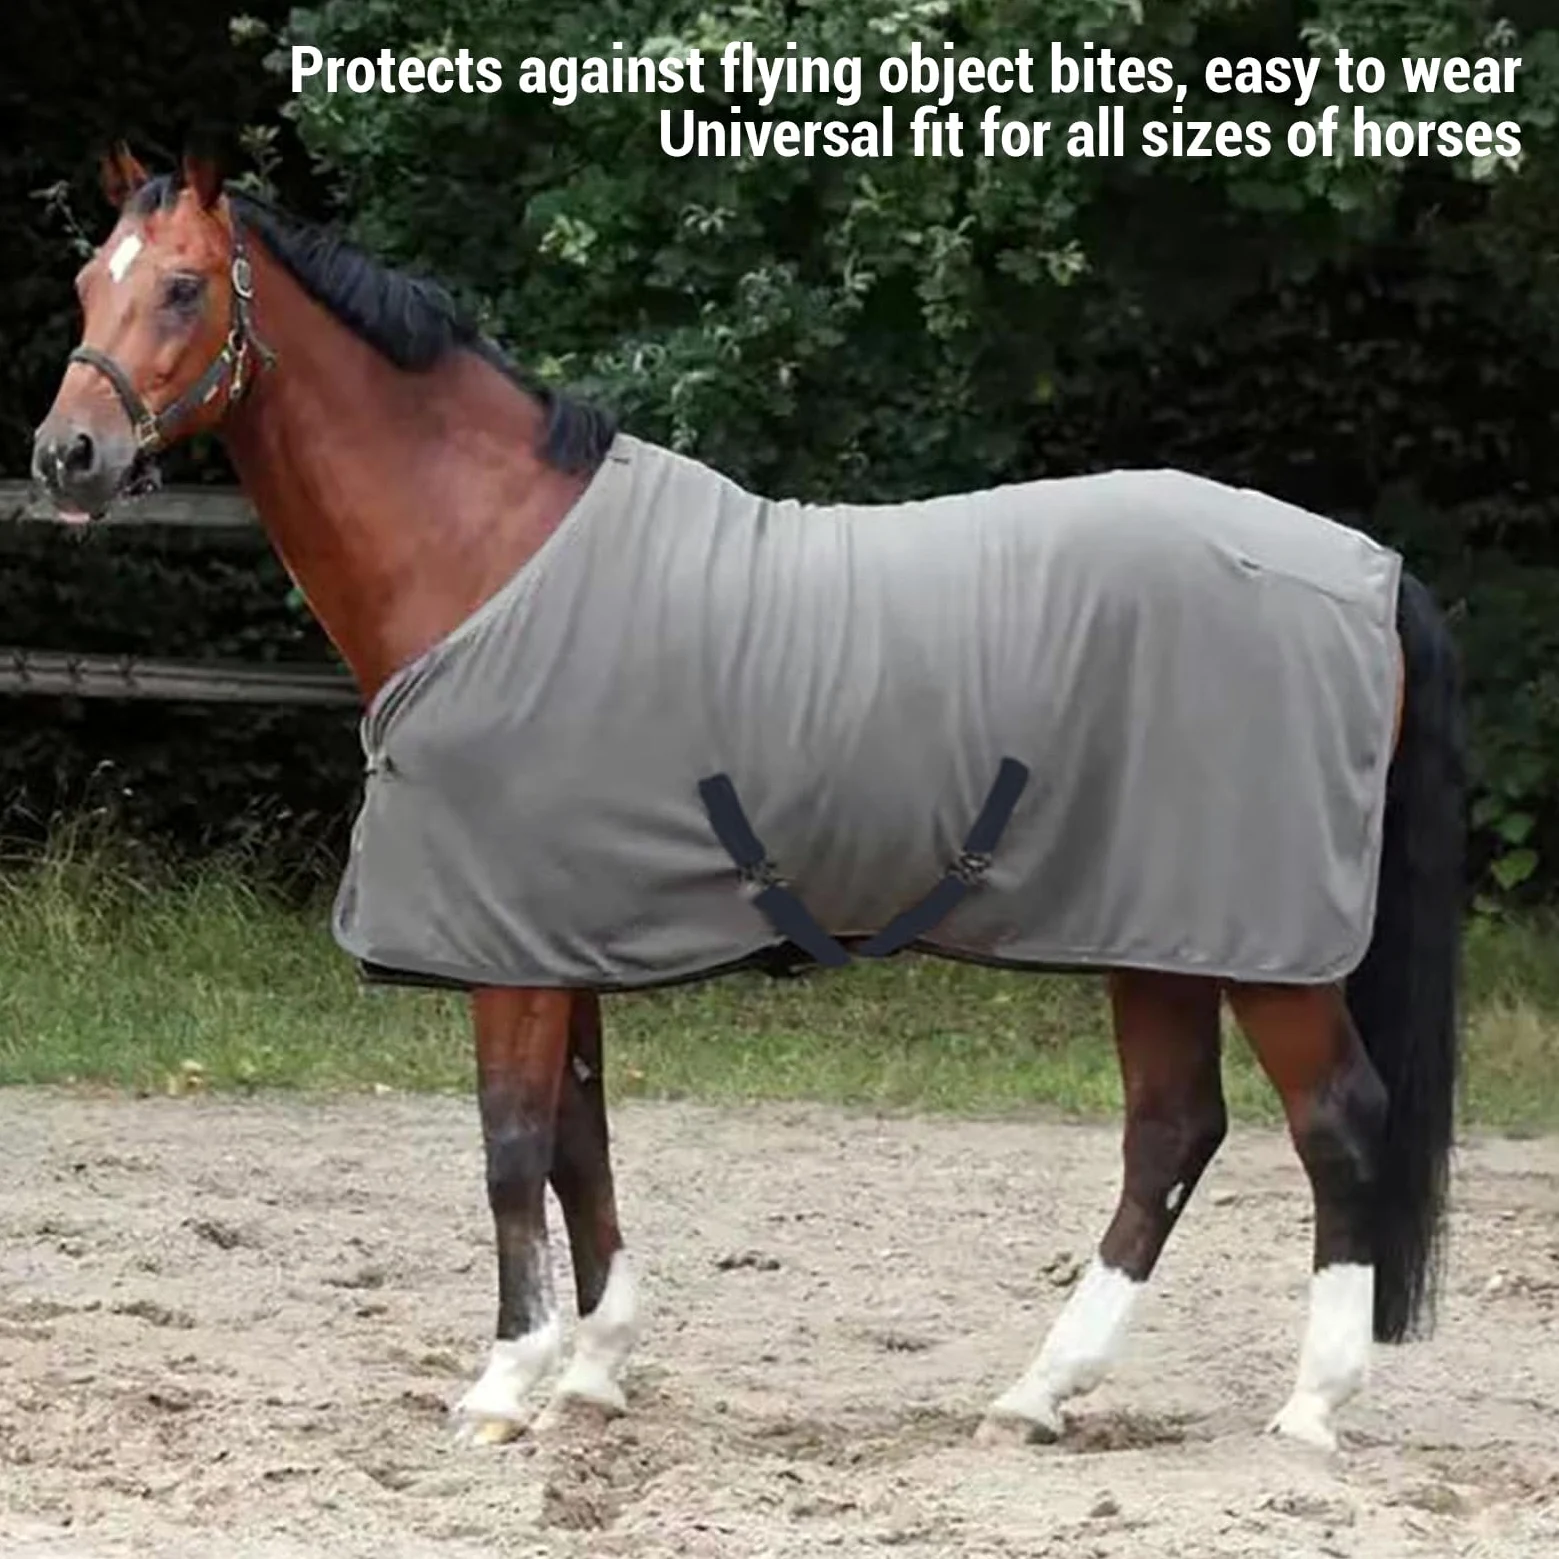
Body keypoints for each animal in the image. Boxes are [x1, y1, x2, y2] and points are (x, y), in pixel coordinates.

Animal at [32, 148, 1465, 1455]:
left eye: (181, 286)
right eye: (86, 281)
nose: (66, 454)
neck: (488, 551)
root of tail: (1368, 569)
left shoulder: (509, 947)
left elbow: (510, 1141)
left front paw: (505, 1383)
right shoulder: (556, 929)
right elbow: (579, 1139)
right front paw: (595, 1370)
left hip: (1263, 948)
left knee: (1335, 1122)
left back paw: (1309, 1406)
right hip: (1155, 933)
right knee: (1170, 1131)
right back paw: (1037, 1392)